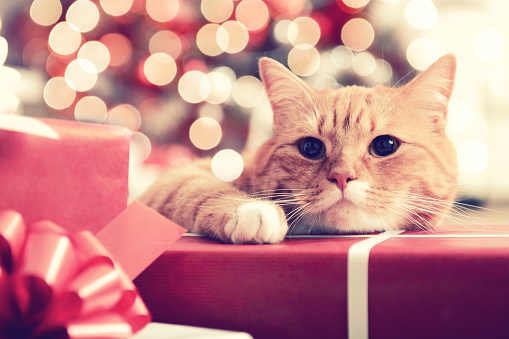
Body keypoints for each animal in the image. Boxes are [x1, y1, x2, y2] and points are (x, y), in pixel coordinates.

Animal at [139, 53, 456, 244]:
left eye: (385, 145)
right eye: (310, 147)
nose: (342, 177)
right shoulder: (179, 178)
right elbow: (200, 188)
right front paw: (252, 210)